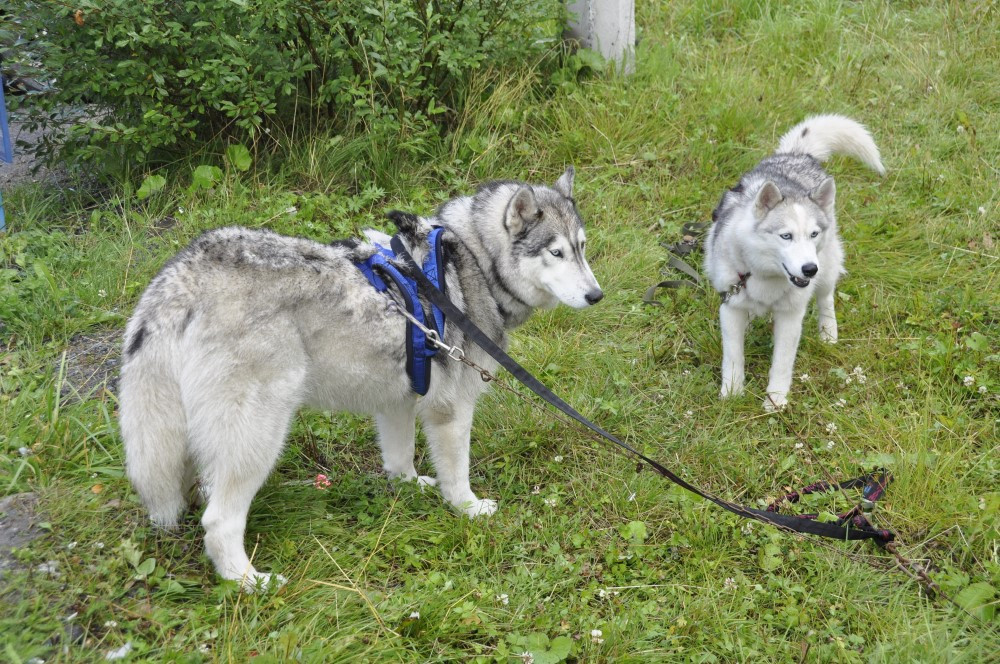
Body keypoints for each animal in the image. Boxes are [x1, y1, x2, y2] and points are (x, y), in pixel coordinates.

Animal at [117, 169, 600, 588]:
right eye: (556, 253)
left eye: (582, 247)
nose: (597, 295)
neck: (471, 261)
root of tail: (182, 276)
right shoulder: (451, 410)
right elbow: (457, 475)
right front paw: (468, 508)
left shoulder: (399, 400)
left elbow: (399, 460)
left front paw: (409, 487)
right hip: (258, 437)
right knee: (218, 522)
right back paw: (249, 582)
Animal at [704, 116, 884, 412]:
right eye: (786, 236)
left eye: (813, 234)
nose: (810, 269)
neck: (766, 277)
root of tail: (796, 156)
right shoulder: (730, 307)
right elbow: (733, 356)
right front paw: (731, 394)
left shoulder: (791, 315)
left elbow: (782, 362)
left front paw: (775, 401)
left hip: (828, 268)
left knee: (826, 299)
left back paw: (828, 333)